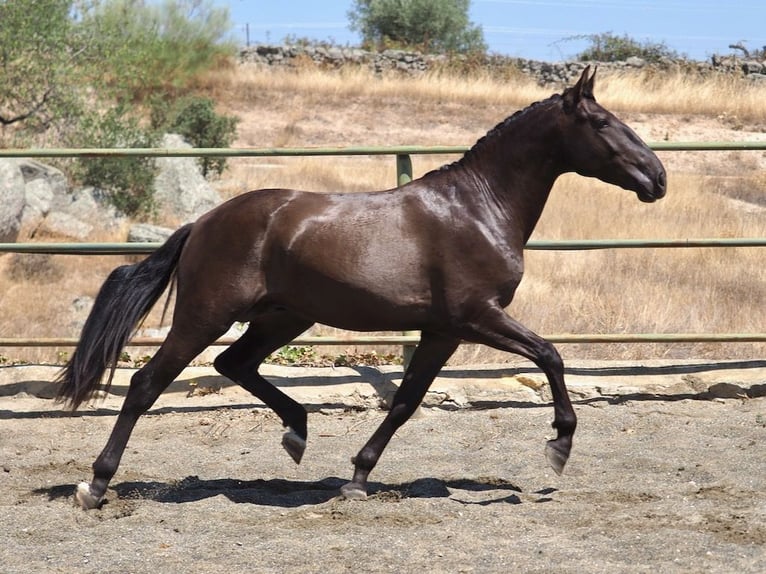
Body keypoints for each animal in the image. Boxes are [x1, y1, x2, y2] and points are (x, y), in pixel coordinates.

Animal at [55, 65, 664, 510]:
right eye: (602, 123)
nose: (657, 177)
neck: (479, 208)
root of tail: (202, 222)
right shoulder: (477, 317)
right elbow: (551, 355)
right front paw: (559, 444)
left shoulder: (442, 331)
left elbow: (405, 402)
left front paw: (356, 478)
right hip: (207, 315)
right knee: (147, 384)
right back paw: (95, 486)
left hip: (284, 316)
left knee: (235, 364)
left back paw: (297, 433)